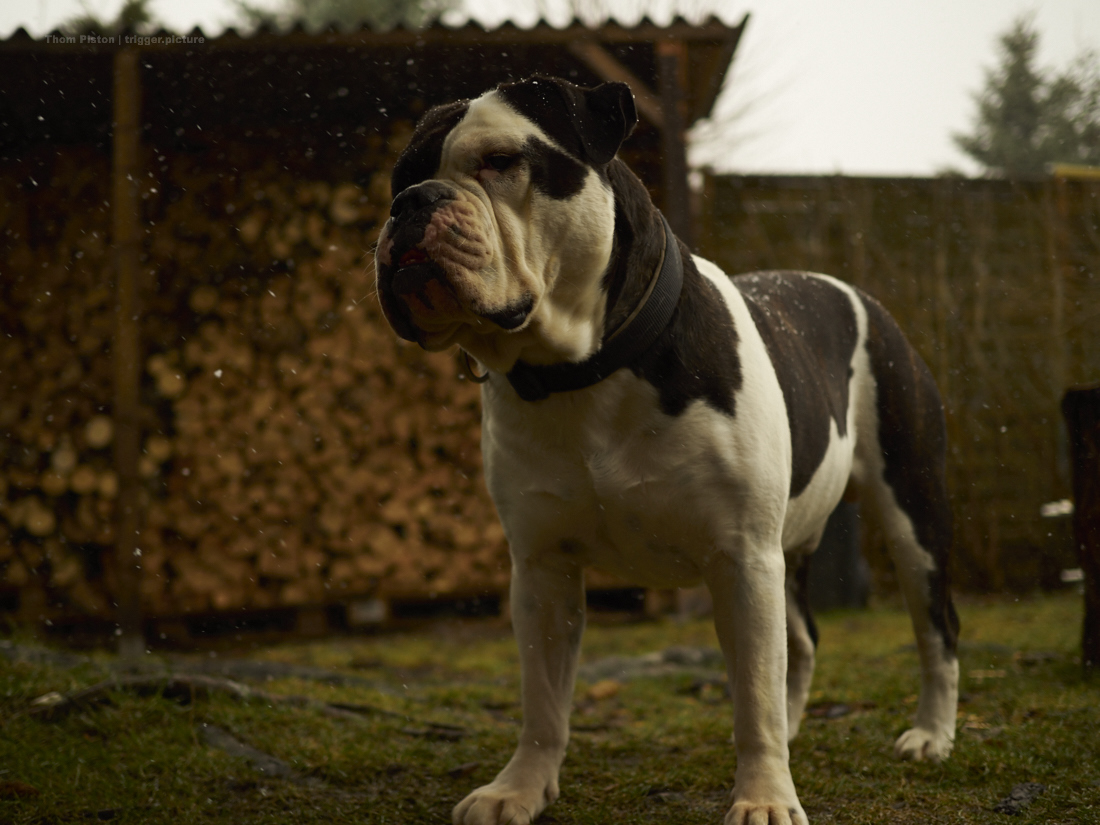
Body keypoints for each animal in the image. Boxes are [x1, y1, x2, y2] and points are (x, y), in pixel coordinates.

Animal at [374, 75, 959, 825]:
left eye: (501, 161)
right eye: (400, 178)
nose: (410, 203)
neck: (584, 368)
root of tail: (854, 291)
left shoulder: (741, 558)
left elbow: (753, 697)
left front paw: (764, 797)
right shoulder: (543, 568)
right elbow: (543, 701)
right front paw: (520, 788)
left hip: (910, 513)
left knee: (935, 627)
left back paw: (931, 734)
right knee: (800, 640)